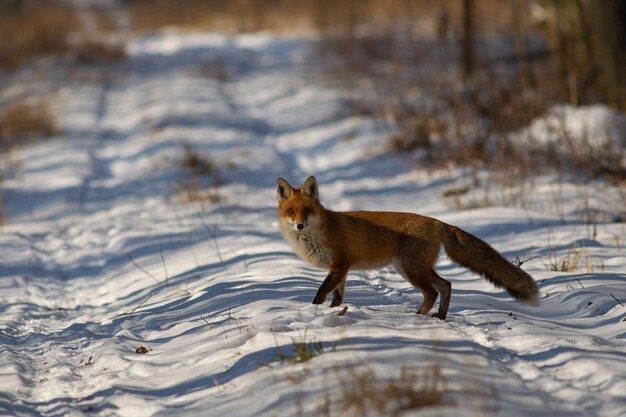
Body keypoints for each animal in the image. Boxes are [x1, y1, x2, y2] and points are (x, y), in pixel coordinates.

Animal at [276, 176, 540, 318]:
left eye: (307, 210)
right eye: (291, 212)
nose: (299, 225)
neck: (320, 231)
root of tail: (438, 222)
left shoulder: (339, 265)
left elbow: (321, 293)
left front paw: (314, 312)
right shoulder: (342, 269)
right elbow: (337, 298)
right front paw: (333, 312)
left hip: (410, 270)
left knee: (433, 292)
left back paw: (419, 317)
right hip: (417, 268)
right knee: (446, 285)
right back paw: (440, 317)